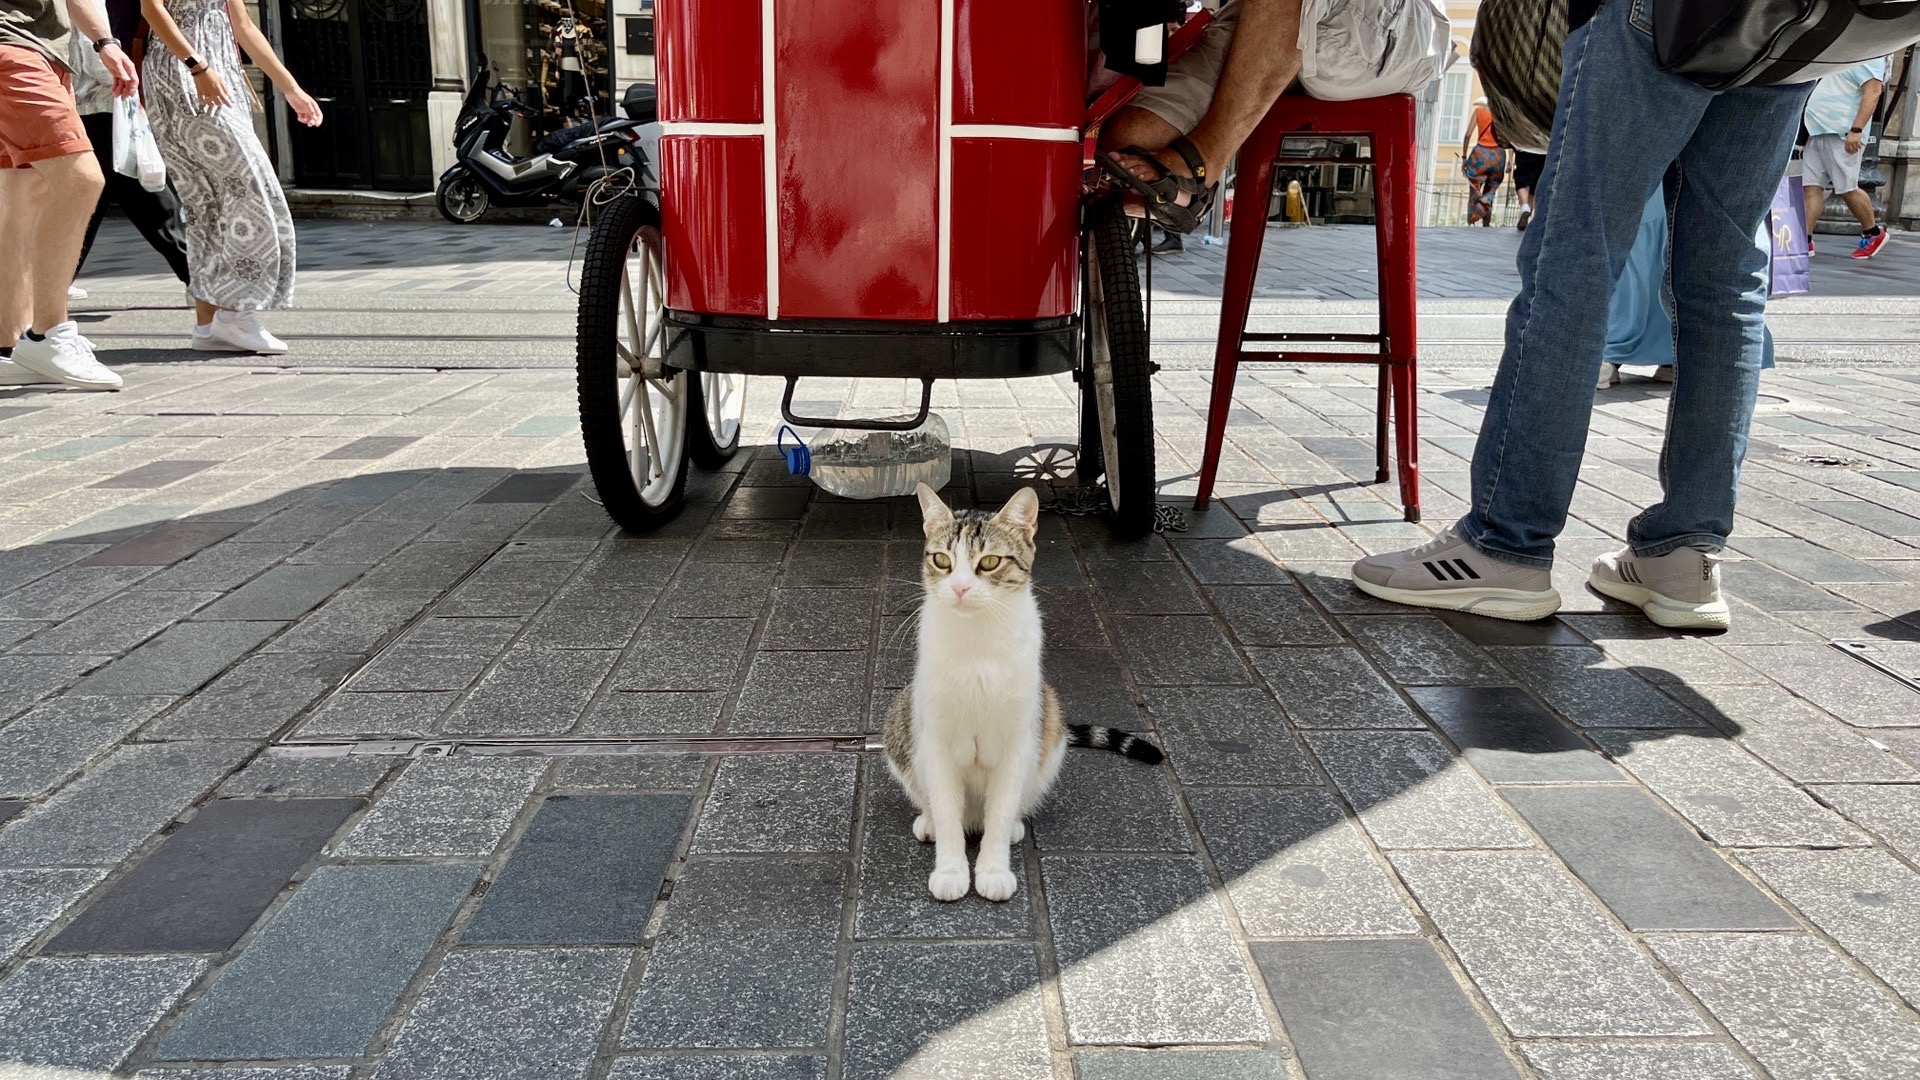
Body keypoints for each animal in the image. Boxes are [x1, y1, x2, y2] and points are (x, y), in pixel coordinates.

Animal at [879, 480, 1152, 899]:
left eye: (990, 562)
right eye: (942, 560)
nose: (960, 587)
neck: (977, 642)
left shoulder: (1018, 739)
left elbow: (1002, 808)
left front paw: (993, 870)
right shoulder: (936, 739)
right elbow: (946, 810)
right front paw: (951, 870)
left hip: (1049, 719)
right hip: (901, 717)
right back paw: (930, 823)